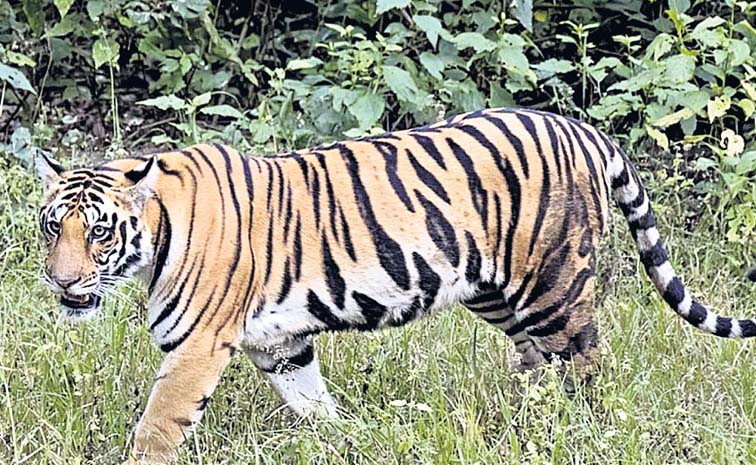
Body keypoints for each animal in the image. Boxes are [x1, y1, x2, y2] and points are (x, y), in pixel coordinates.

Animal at [35, 107, 756, 463]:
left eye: (98, 232)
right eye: (51, 227)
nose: (61, 281)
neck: (157, 234)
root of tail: (582, 128)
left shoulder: (196, 346)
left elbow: (158, 425)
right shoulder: (280, 344)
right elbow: (313, 403)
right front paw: (343, 442)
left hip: (553, 286)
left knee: (588, 366)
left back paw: (585, 435)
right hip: (498, 292)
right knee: (538, 364)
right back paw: (522, 423)